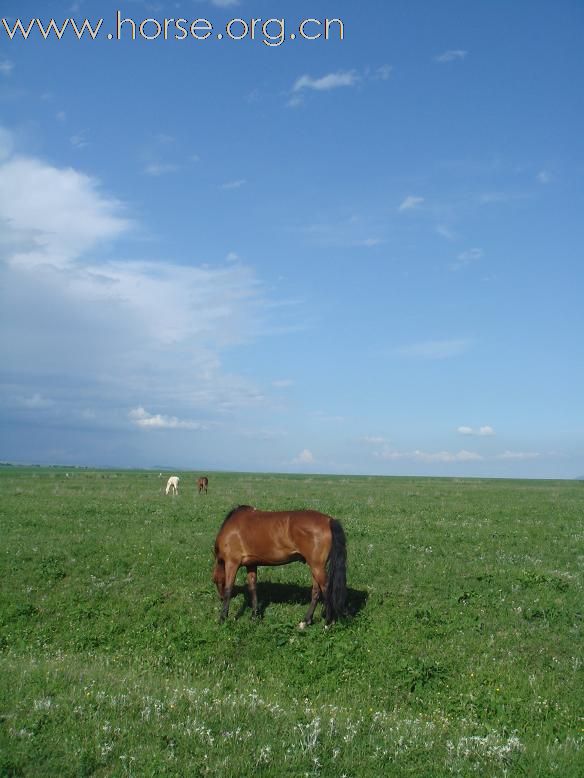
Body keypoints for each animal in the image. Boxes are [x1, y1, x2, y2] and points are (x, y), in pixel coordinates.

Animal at [212, 504, 346, 624]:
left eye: (215, 581)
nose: (220, 598)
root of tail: (329, 520)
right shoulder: (251, 564)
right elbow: (253, 588)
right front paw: (254, 616)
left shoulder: (231, 563)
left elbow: (229, 588)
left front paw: (222, 618)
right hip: (315, 567)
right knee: (316, 592)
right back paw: (306, 621)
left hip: (317, 567)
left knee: (326, 588)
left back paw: (328, 622)